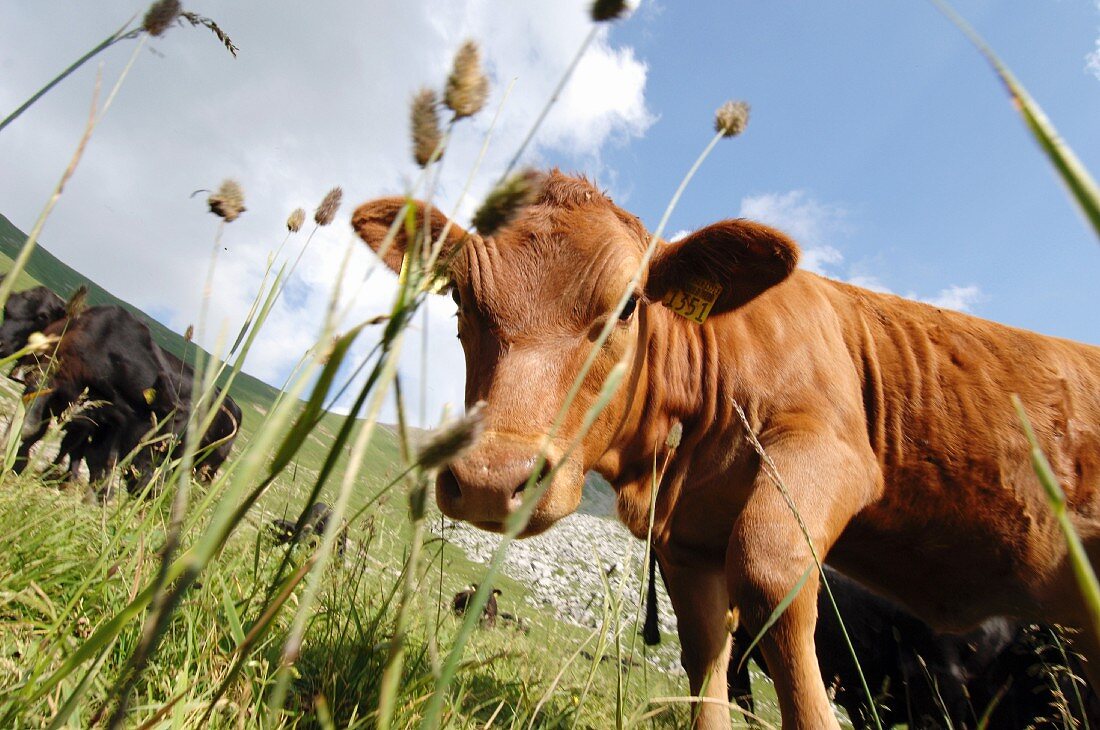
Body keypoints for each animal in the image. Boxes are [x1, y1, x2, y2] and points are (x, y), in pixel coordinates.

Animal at [354, 171, 1100, 729]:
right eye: (459, 296)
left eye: (629, 305)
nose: (490, 478)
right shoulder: (686, 539)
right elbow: (706, 655)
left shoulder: (828, 449)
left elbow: (771, 570)